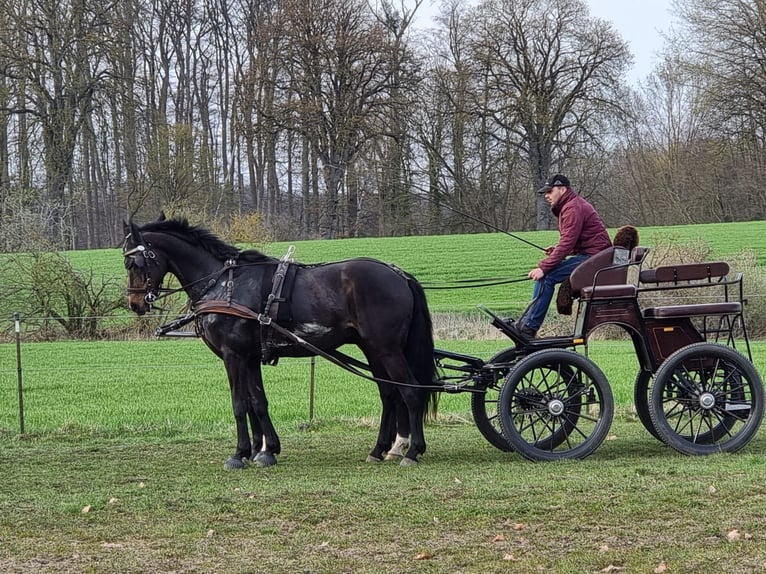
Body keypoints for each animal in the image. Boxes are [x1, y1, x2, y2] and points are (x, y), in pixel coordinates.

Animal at [124, 218, 438, 470]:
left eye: (135, 262)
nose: (135, 303)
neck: (225, 285)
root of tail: (399, 274)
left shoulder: (233, 355)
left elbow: (239, 403)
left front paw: (239, 454)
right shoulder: (250, 357)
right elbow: (257, 402)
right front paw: (264, 450)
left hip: (387, 349)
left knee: (411, 392)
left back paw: (412, 451)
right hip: (373, 349)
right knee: (389, 393)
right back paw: (380, 449)